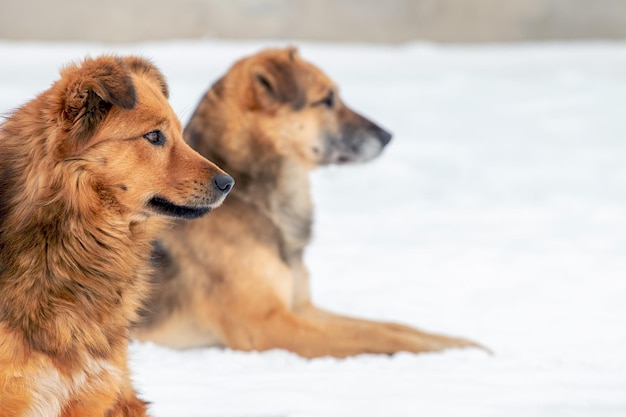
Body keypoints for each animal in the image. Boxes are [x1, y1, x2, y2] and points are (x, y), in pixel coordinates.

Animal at [134, 46, 480, 358]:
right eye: (326, 100)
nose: (387, 136)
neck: (254, 198)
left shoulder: (302, 307)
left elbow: (391, 327)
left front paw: (460, 343)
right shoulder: (266, 325)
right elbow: (375, 336)